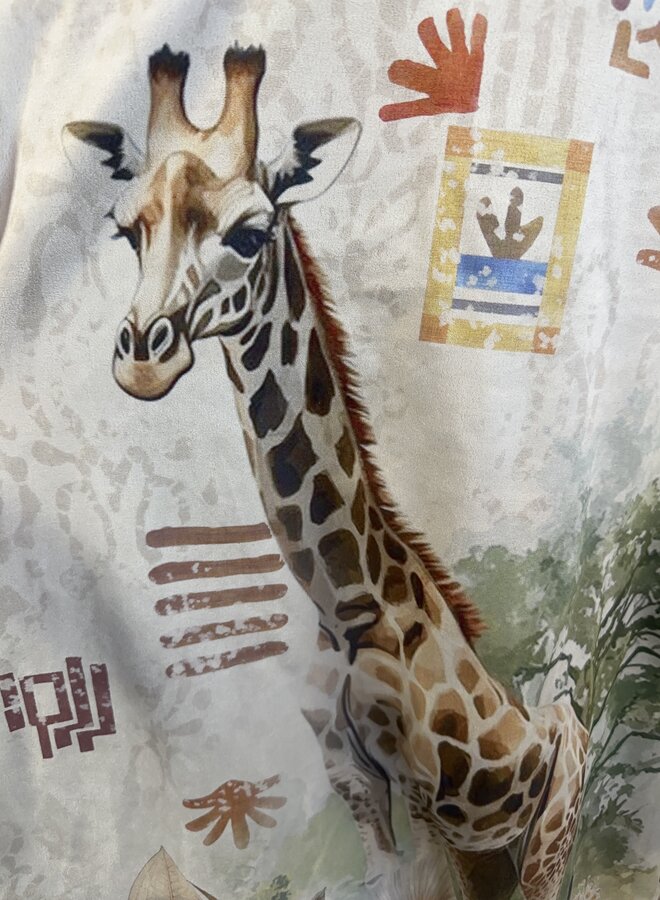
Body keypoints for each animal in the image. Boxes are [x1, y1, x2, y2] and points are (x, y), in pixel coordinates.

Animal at [64, 43, 588, 900]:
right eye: (125, 228)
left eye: (250, 233)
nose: (144, 359)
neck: (345, 603)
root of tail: (562, 717)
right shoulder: (356, 785)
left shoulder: (424, 792)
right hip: (495, 845)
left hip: (546, 826)